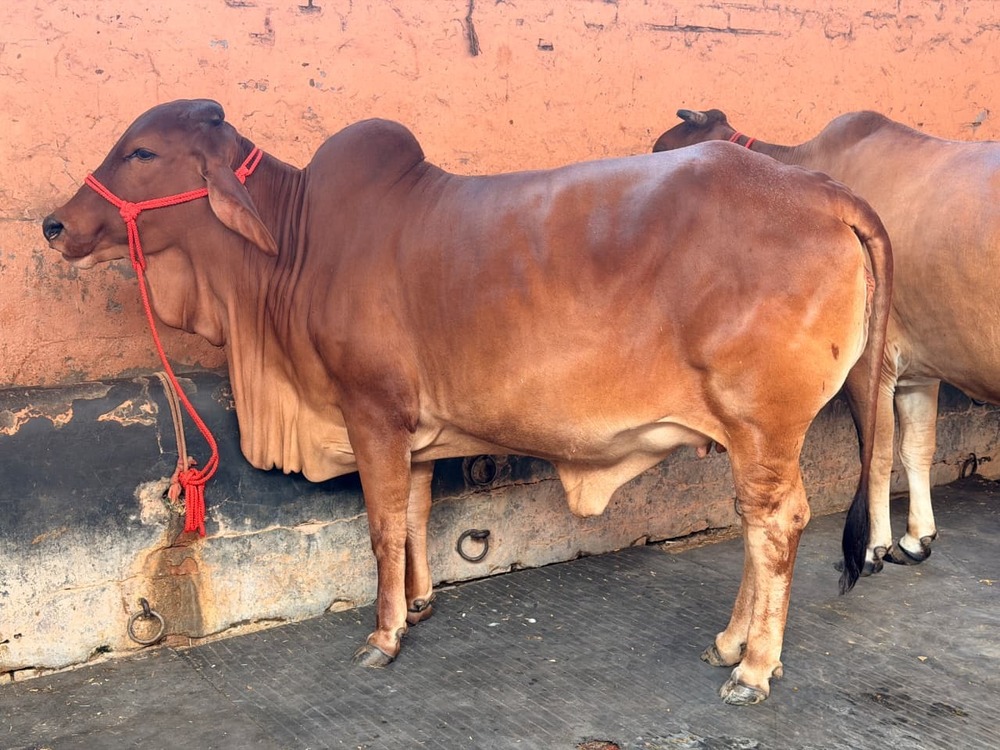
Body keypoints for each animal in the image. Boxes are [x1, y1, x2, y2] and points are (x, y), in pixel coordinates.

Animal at [43, 99, 890, 705]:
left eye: (142, 153)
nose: (54, 223)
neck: (294, 247)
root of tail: (826, 193)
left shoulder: (372, 414)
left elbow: (383, 527)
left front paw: (383, 636)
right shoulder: (412, 431)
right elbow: (415, 514)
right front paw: (417, 605)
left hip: (761, 423)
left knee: (775, 525)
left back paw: (753, 668)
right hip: (756, 434)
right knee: (764, 522)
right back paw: (732, 644)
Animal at [653, 108, 999, 576]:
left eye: (660, 153)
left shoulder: (871, 364)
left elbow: (876, 455)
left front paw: (871, 548)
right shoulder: (919, 369)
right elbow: (917, 448)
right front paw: (915, 539)